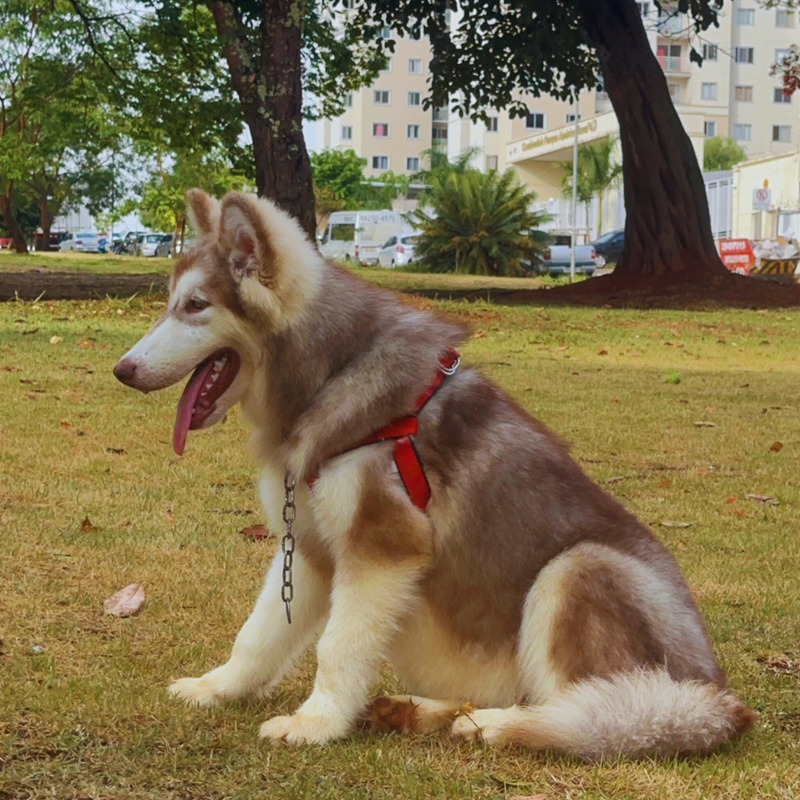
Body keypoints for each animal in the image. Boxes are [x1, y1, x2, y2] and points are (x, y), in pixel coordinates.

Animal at [114, 191, 756, 760]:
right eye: (171, 302)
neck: (330, 374)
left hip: (578, 570)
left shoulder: (381, 548)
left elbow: (337, 647)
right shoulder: (313, 549)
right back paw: (425, 712)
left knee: (601, 712)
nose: (122, 370)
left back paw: (497, 725)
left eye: (196, 306)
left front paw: (316, 724)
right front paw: (218, 688)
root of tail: (717, 700)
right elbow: (259, 631)